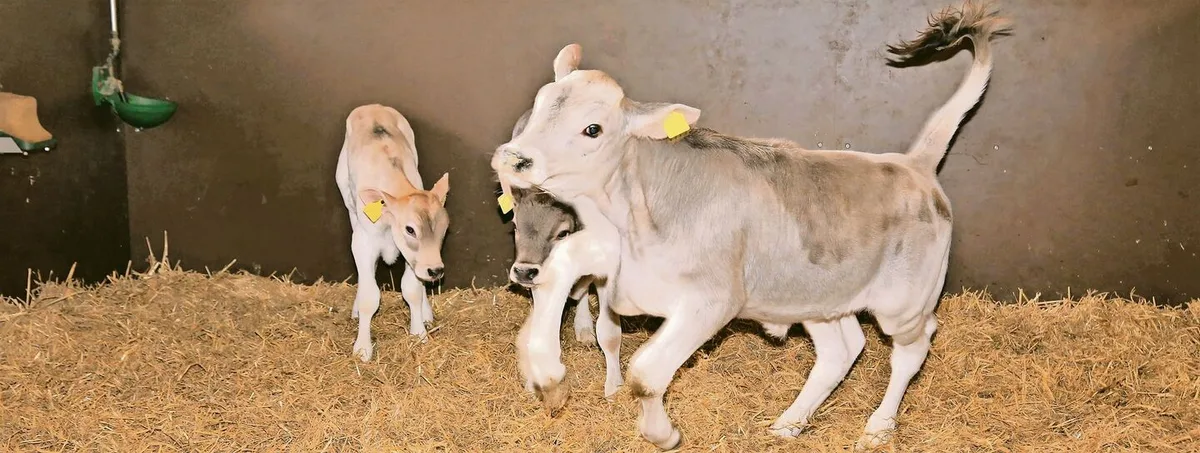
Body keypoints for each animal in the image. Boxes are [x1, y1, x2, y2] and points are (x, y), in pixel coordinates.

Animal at [335, 104, 451, 362]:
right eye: (410, 229)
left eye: (444, 228)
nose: (436, 270)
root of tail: (373, 106)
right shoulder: (364, 243)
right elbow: (370, 296)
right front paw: (362, 348)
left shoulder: (414, 258)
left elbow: (413, 290)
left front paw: (419, 333)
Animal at [490, 2, 1009, 450]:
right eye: (541, 104)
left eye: (593, 129)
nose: (515, 157)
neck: (631, 215)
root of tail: (914, 165)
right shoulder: (610, 258)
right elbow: (561, 270)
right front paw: (545, 375)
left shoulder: (713, 299)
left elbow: (646, 372)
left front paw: (663, 433)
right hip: (817, 299)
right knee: (842, 349)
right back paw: (789, 423)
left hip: (903, 302)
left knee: (912, 348)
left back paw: (877, 428)